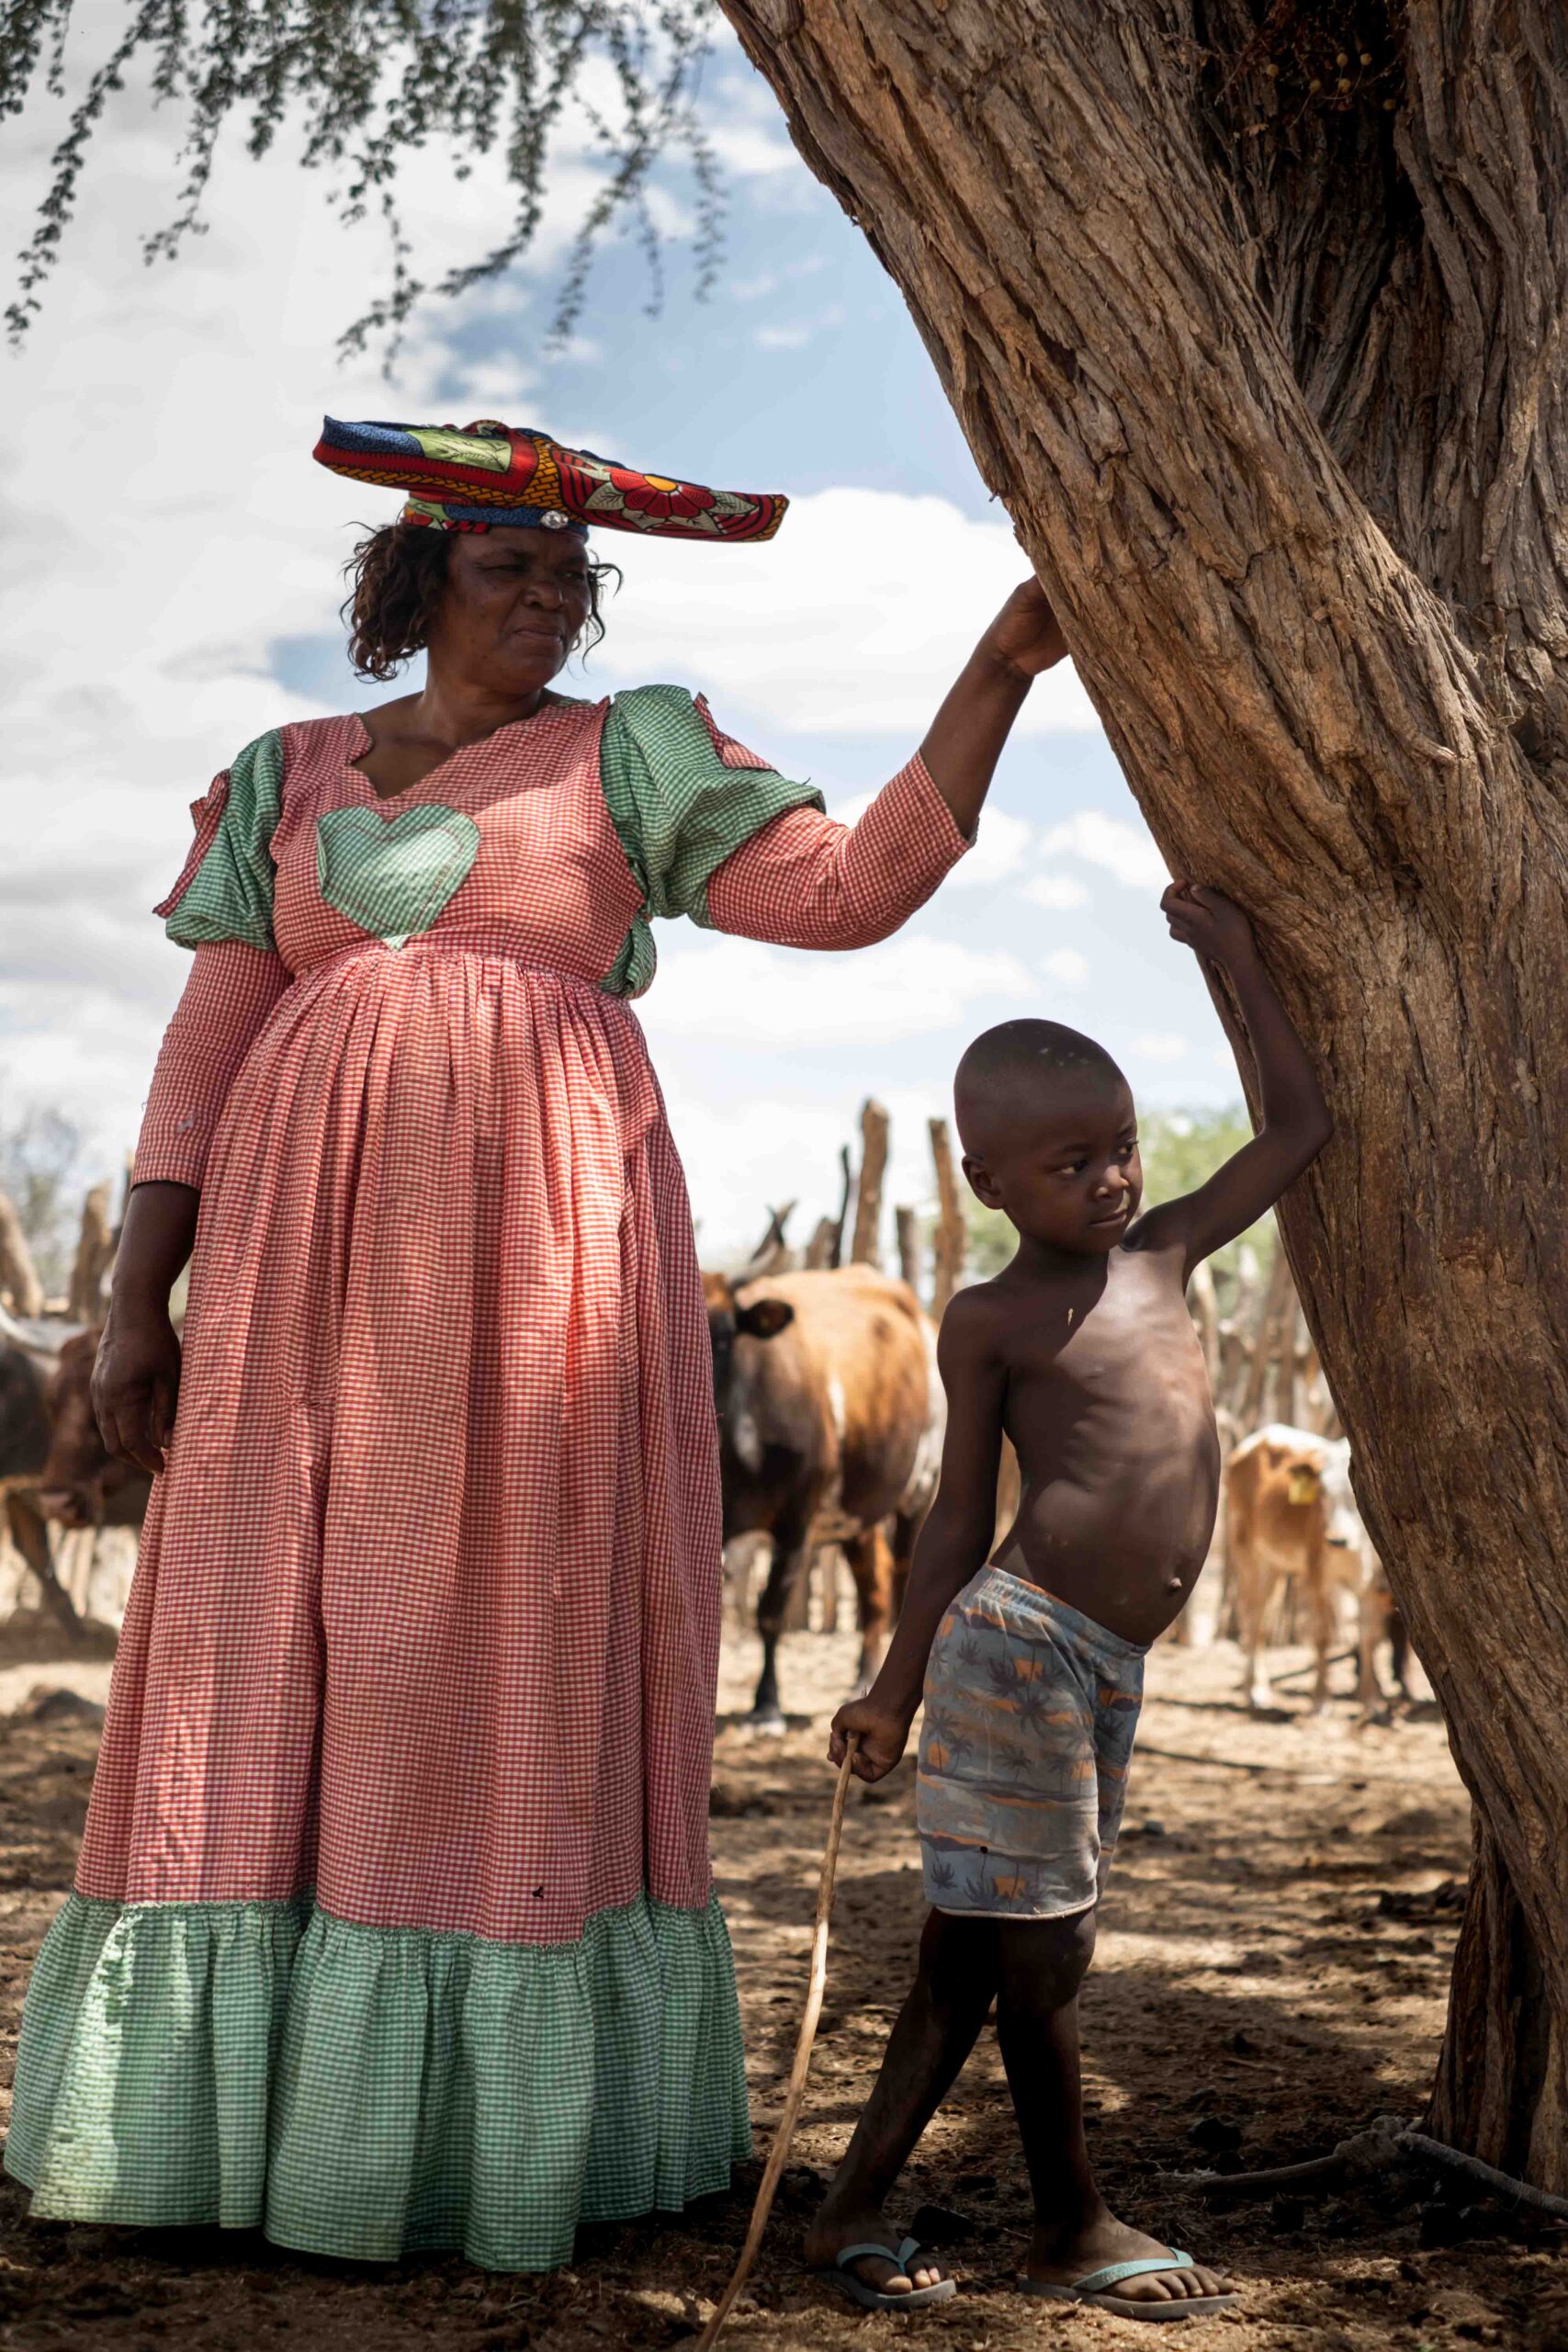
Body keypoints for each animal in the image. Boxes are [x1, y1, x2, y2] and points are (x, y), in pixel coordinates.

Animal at [700, 1270, 944, 1731]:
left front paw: (767, 1705)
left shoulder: (796, 1521)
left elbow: (771, 1612)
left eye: (722, 1339)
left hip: (920, 1492)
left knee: (903, 1574)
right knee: (874, 1588)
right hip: (856, 1516)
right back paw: (862, 1679)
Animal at [1222, 1420, 1410, 1721]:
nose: (1336, 1540)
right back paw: (1255, 1691)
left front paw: (1370, 1700)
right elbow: (1322, 1635)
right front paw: (1321, 1701)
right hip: (1247, 1552)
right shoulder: (1316, 1574)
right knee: (1253, 1618)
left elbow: (1368, 1637)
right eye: (1324, 1494)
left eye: (1356, 1497)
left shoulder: (1371, 1581)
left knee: (1264, 1618)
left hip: (1274, 1565)